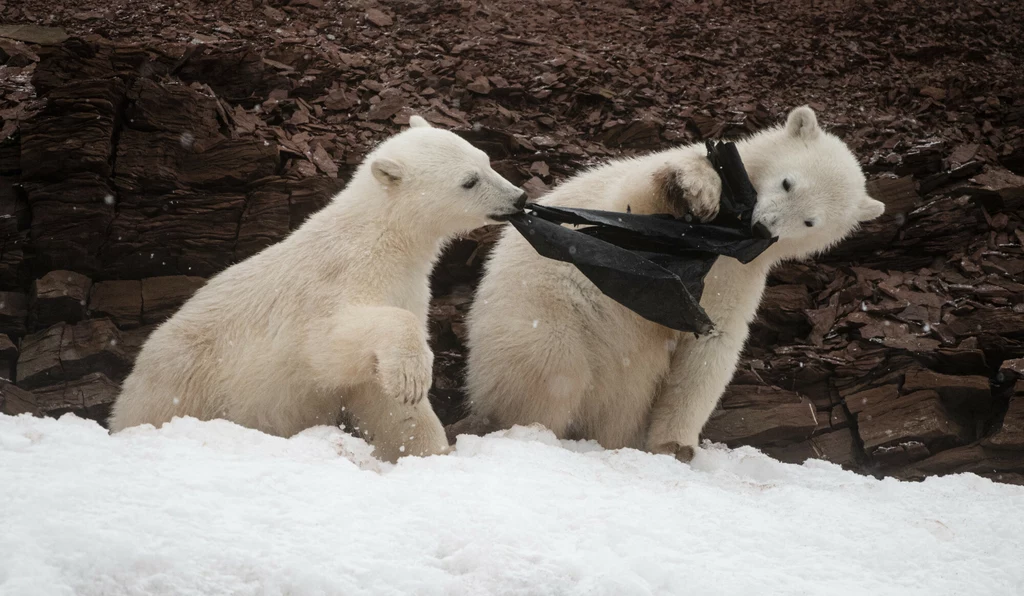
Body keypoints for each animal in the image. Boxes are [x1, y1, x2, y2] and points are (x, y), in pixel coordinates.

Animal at [112, 116, 528, 462]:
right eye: (469, 180)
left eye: (486, 160)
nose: (519, 197)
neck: (379, 241)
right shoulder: (332, 287)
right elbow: (329, 345)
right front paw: (412, 378)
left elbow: (382, 399)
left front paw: (426, 449)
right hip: (183, 383)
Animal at [460, 106, 884, 462]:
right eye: (787, 183)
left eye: (811, 221)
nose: (763, 227)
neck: (729, 239)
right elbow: (633, 204)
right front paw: (695, 188)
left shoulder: (741, 276)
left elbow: (711, 345)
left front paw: (676, 445)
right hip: (543, 315)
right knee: (554, 369)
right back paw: (532, 430)